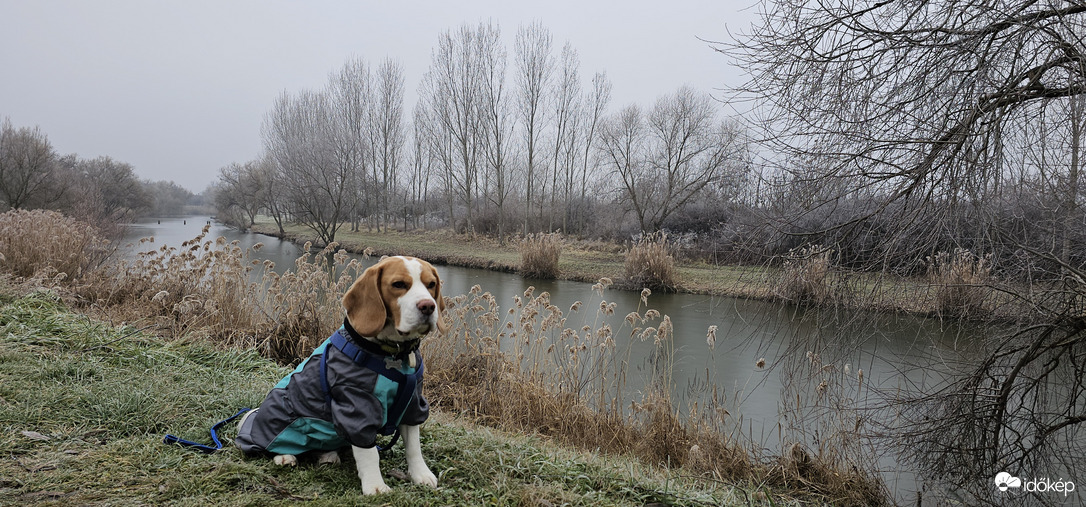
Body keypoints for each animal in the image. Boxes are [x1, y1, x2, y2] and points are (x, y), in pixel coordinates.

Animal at [235, 256, 443, 495]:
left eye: (431, 285)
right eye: (399, 284)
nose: (428, 306)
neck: (393, 353)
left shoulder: (413, 402)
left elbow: (414, 446)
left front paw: (421, 475)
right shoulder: (356, 405)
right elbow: (369, 452)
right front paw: (375, 486)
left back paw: (328, 455)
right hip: (280, 411)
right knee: (274, 443)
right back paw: (284, 456)